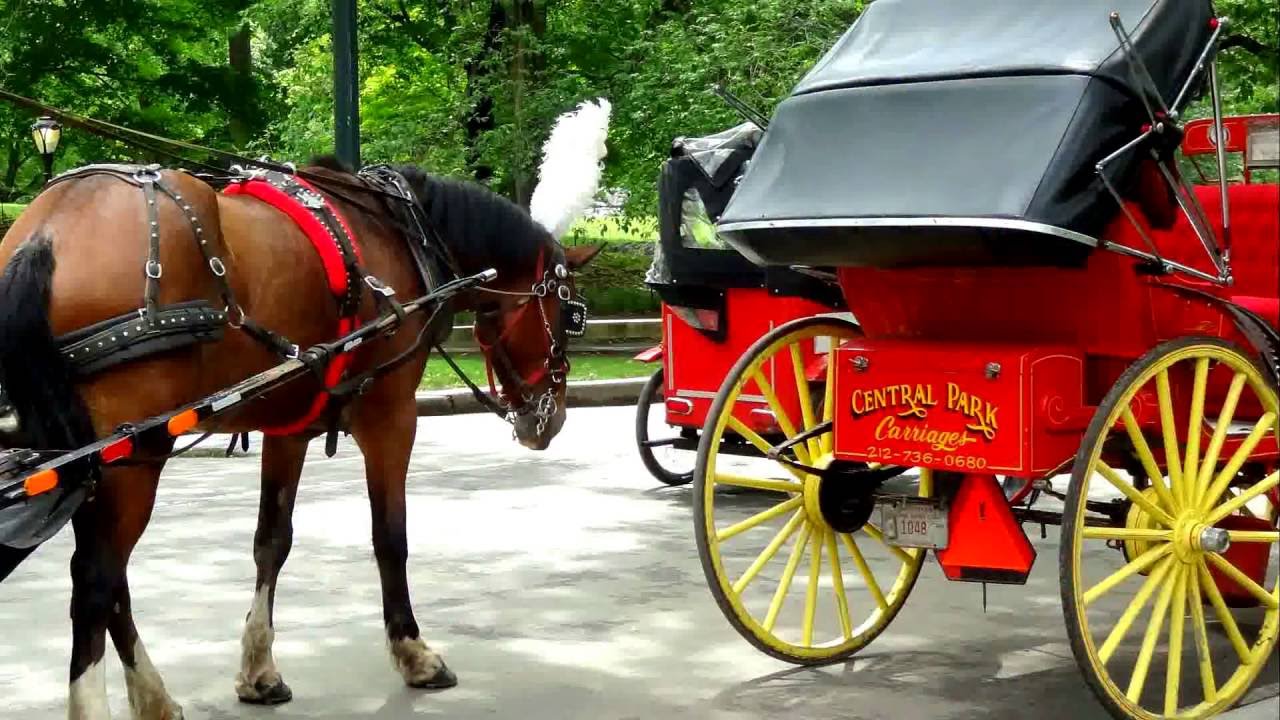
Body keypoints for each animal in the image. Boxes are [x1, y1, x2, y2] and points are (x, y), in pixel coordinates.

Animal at [0, 99, 611, 719]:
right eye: (569, 317)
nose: (550, 420)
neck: (401, 230)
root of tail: (47, 230)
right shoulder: (392, 414)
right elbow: (390, 535)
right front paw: (413, 651)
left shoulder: (287, 425)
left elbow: (272, 540)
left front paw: (259, 669)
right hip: (135, 447)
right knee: (96, 577)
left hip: (104, 453)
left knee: (111, 576)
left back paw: (153, 695)